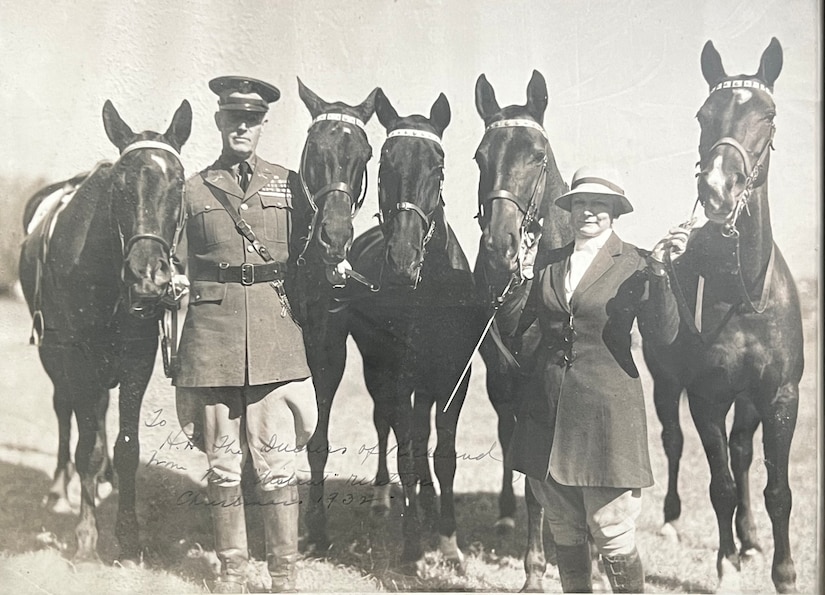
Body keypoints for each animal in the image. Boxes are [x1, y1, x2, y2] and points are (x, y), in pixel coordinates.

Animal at [18, 99, 192, 564]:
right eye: (119, 185)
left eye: (179, 183)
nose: (148, 275)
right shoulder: (75, 357)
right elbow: (86, 447)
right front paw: (85, 536)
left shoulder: (137, 358)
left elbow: (127, 446)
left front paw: (128, 535)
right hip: (56, 357)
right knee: (66, 411)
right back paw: (61, 489)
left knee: (98, 412)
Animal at [328, 89, 482, 568]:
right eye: (383, 166)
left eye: (439, 166)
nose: (402, 259)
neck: (427, 292)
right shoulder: (397, 376)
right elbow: (407, 453)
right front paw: (413, 546)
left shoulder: (453, 378)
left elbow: (444, 454)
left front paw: (448, 541)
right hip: (377, 370)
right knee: (389, 428)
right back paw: (384, 499)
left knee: (418, 431)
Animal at [640, 36, 800, 592]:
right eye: (703, 115)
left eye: (768, 115)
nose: (716, 188)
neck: (741, 294)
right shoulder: (707, 396)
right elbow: (720, 486)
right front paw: (725, 565)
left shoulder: (778, 396)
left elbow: (776, 488)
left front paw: (782, 571)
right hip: (668, 384)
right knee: (673, 441)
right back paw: (671, 523)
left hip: (747, 400)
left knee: (743, 453)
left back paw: (750, 539)